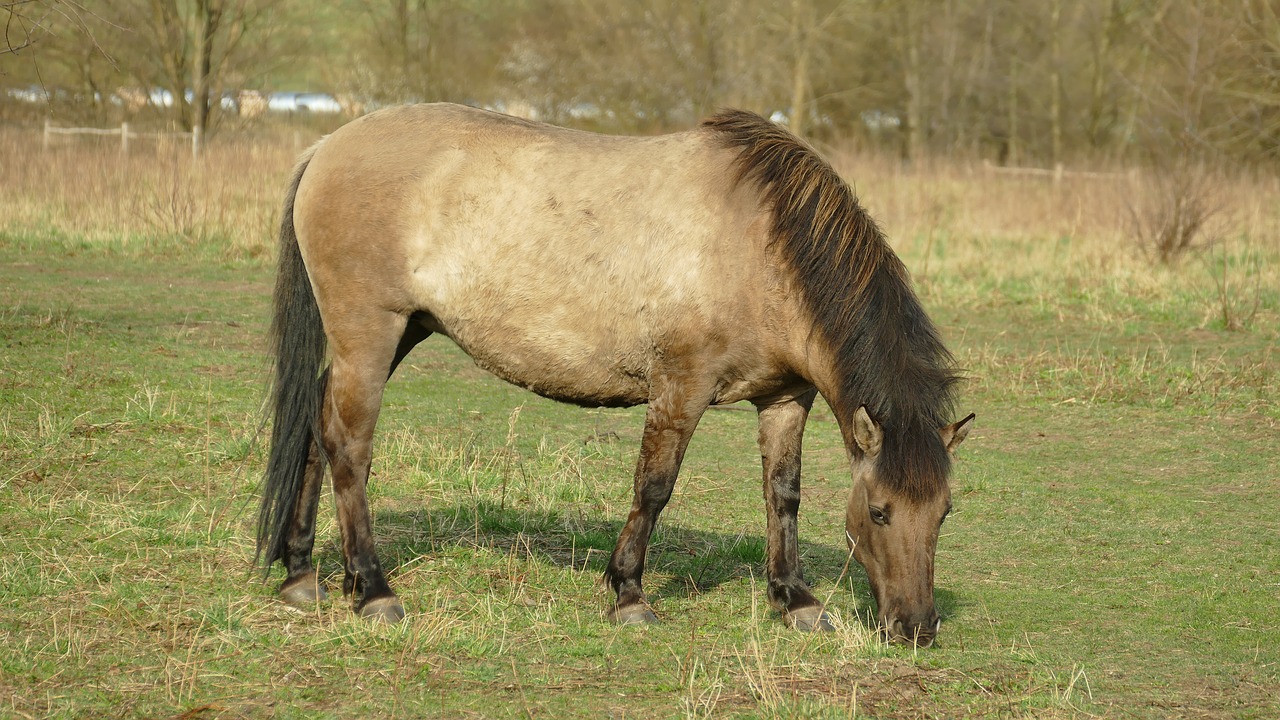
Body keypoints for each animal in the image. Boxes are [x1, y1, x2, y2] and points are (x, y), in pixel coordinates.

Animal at [262, 103, 977, 648]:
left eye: (942, 512)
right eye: (879, 512)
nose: (917, 628)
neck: (762, 248)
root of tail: (327, 145)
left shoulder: (784, 399)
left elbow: (783, 495)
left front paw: (795, 599)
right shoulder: (681, 388)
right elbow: (655, 487)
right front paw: (629, 594)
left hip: (399, 332)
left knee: (316, 429)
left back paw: (301, 574)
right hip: (370, 334)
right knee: (350, 448)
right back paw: (373, 590)